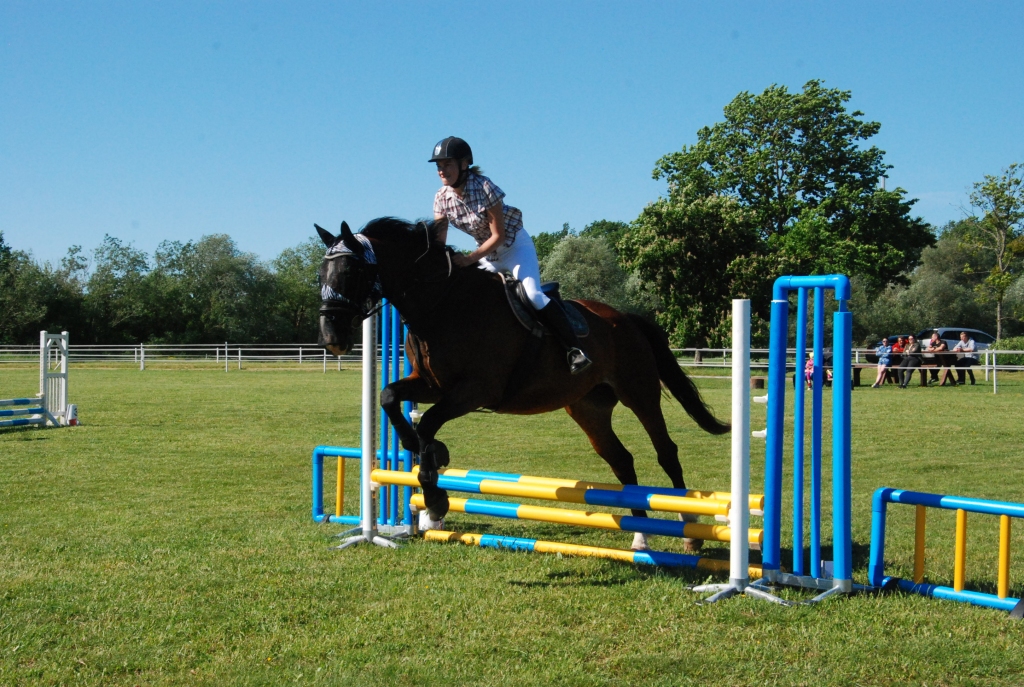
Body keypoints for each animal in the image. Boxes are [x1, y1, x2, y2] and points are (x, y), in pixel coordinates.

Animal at [317, 218, 729, 552]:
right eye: (322, 273)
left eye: (350, 272)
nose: (331, 338)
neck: (442, 304)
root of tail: (625, 318)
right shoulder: (431, 385)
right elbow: (390, 398)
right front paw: (425, 458)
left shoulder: (474, 391)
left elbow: (429, 423)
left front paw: (434, 494)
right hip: (588, 408)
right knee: (622, 461)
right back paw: (640, 536)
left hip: (639, 394)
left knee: (666, 452)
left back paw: (690, 532)